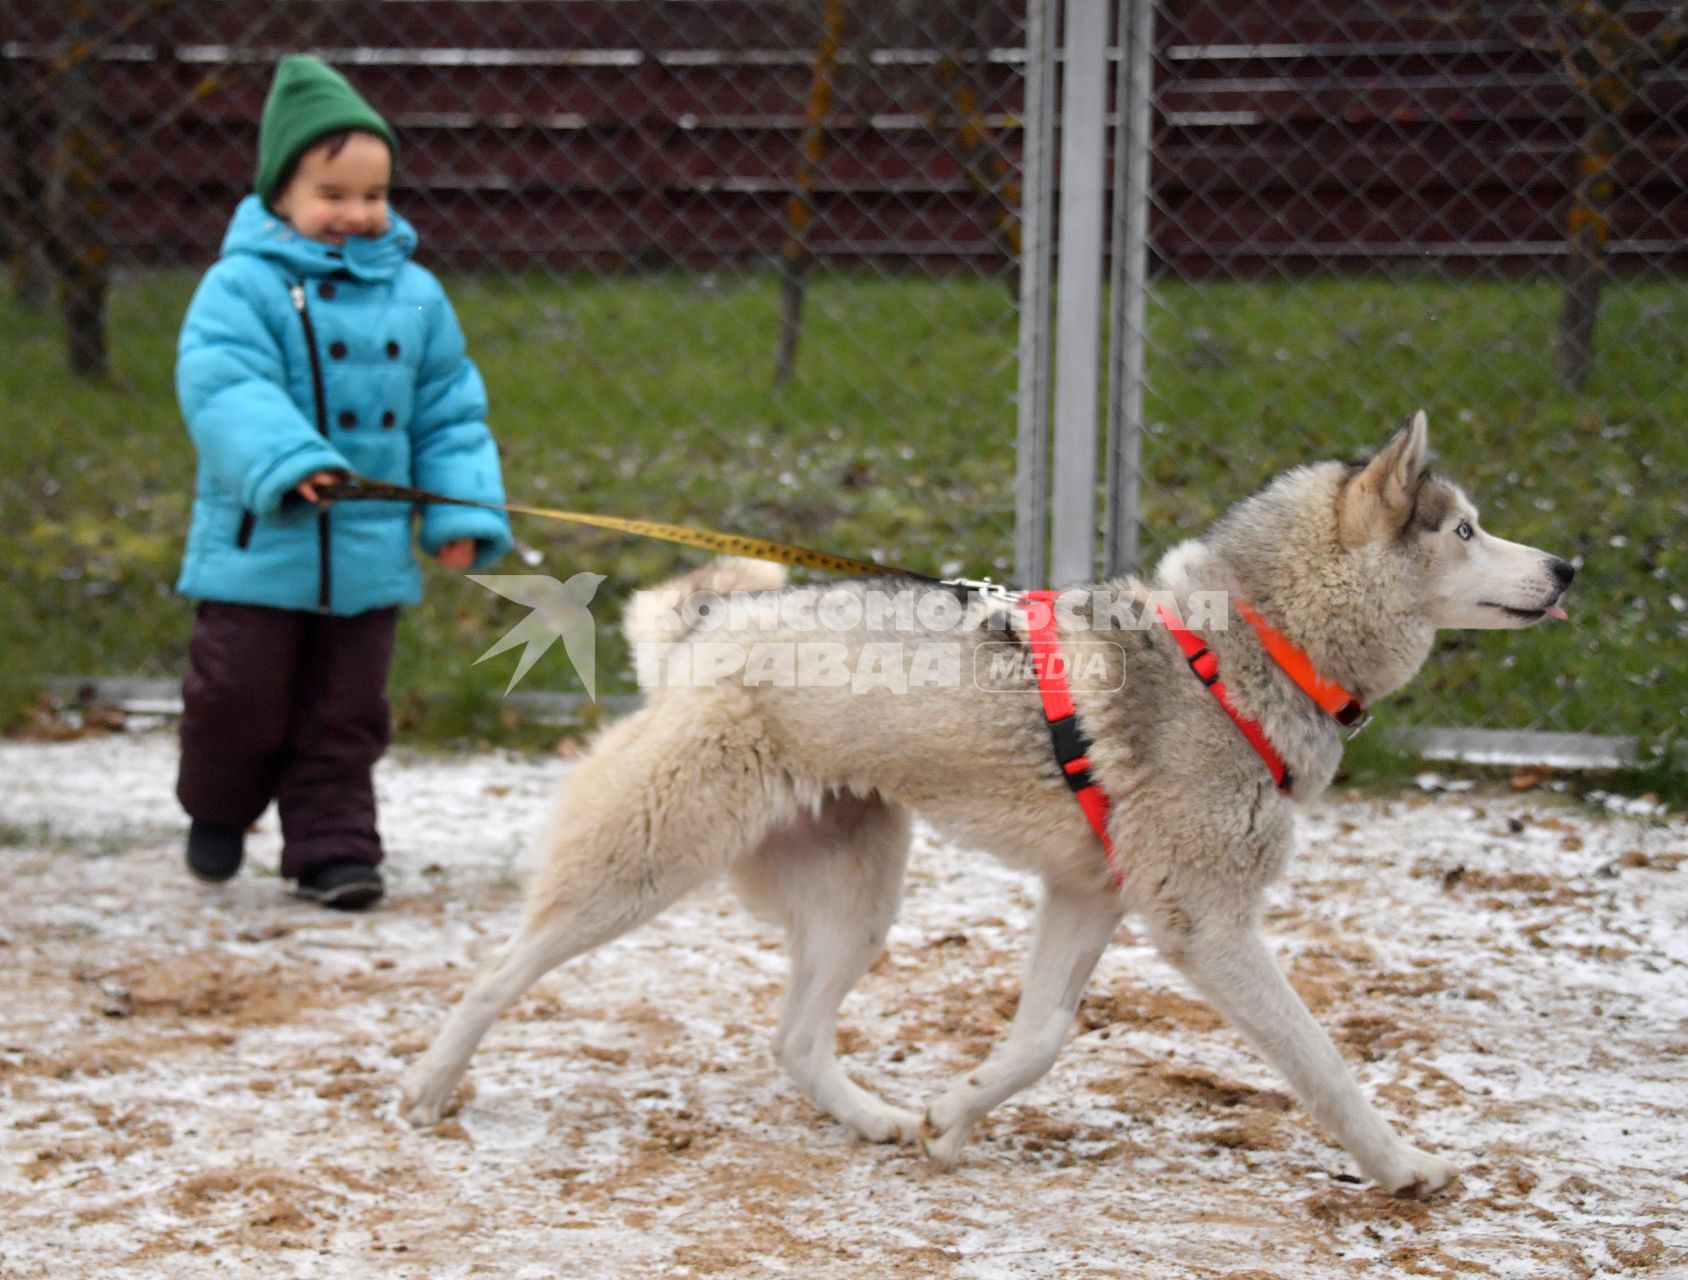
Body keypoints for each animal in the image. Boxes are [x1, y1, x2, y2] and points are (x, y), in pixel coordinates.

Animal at [401, 413, 1573, 1202]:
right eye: (1467, 529)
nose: (1566, 564)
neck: (1245, 645)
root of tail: (700, 629)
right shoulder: (1206, 925)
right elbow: (1323, 1063)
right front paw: (1403, 1165)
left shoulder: (1089, 897)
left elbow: (1040, 1038)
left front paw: (949, 1118)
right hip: (643, 869)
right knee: (498, 973)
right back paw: (426, 1087)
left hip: (859, 903)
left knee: (793, 1039)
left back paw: (874, 1119)